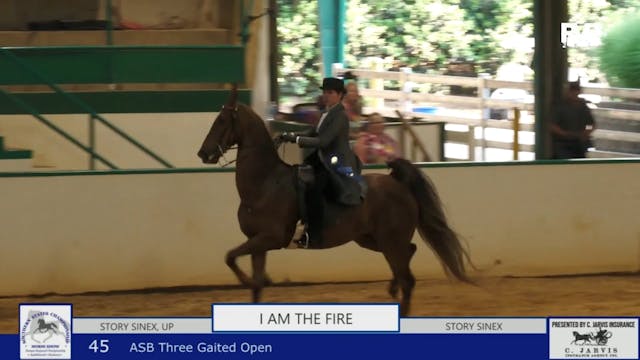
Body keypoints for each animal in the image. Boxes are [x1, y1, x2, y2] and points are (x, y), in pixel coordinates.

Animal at [198, 86, 472, 316]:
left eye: (221, 120)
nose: (203, 153)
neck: (265, 183)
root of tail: (397, 183)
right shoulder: (257, 242)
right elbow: (251, 281)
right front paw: (255, 283)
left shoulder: (270, 238)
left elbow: (230, 257)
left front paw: (247, 281)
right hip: (372, 239)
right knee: (409, 254)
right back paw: (392, 288)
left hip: (389, 240)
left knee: (408, 279)